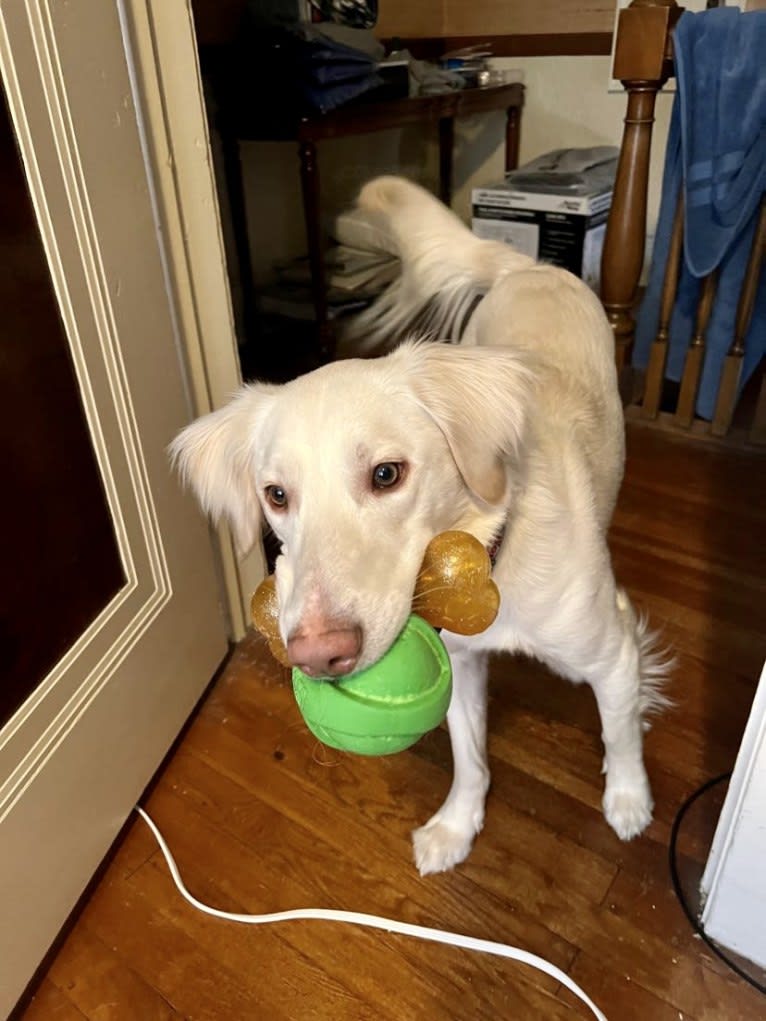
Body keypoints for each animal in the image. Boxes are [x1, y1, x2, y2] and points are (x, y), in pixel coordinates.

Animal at [170, 175, 669, 878]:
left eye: (386, 474)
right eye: (276, 496)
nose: (317, 655)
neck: (487, 564)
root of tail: (528, 266)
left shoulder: (614, 651)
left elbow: (620, 730)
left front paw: (628, 799)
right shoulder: (458, 662)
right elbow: (470, 758)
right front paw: (456, 826)